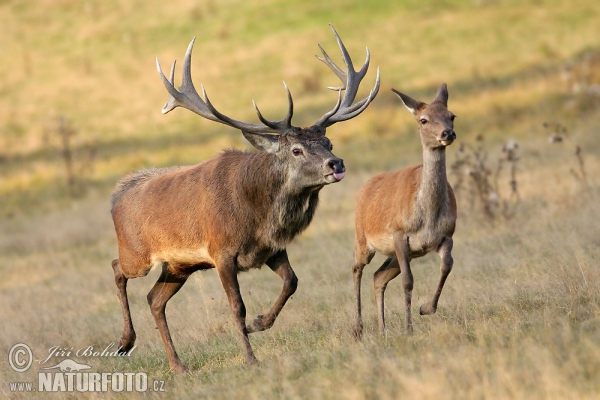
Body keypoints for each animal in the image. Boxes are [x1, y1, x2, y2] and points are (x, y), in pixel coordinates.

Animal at [110, 26, 378, 374]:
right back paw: (124, 341)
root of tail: (116, 194)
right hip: (137, 254)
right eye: (296, 150)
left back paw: (177, 365)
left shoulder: (270, 248)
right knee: (117, 268)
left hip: (179, 265)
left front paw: (259, 323)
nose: (336, 164)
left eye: (328, 142)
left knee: (155, 299)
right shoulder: (221, 252)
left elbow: (292, 281)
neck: (258, 216)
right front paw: (250, 356)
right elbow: (236, 306)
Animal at [350, 83, 458, 340]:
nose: (447, 134)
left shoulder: (447, 235)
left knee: (378, 277)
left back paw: (382, 328)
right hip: (362, 239)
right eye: (423, 120)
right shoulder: (399, 233)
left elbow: (447, 265)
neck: (428, 217)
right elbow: (408, 282)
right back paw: (357, 328)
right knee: (357, 268)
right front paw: (409, 328)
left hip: (398, 255)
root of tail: (362, 189)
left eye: (451, 116)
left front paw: (426, 308)